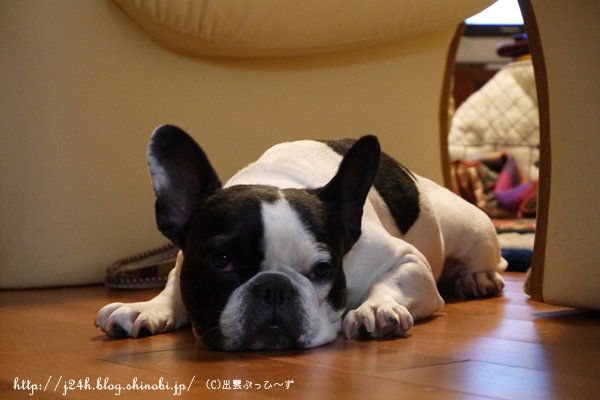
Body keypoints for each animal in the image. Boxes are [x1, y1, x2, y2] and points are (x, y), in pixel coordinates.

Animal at [95, 125, 506, 351]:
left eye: (323, 269)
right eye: (221, 261)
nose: (274, 288)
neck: (275, 178)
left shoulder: (407, 260)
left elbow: (392, 282)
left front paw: (376, 308)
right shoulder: (183, 263)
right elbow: (171, 290)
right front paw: (146, 308)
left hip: (471, 228)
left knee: (491, 260)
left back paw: (477, 279)